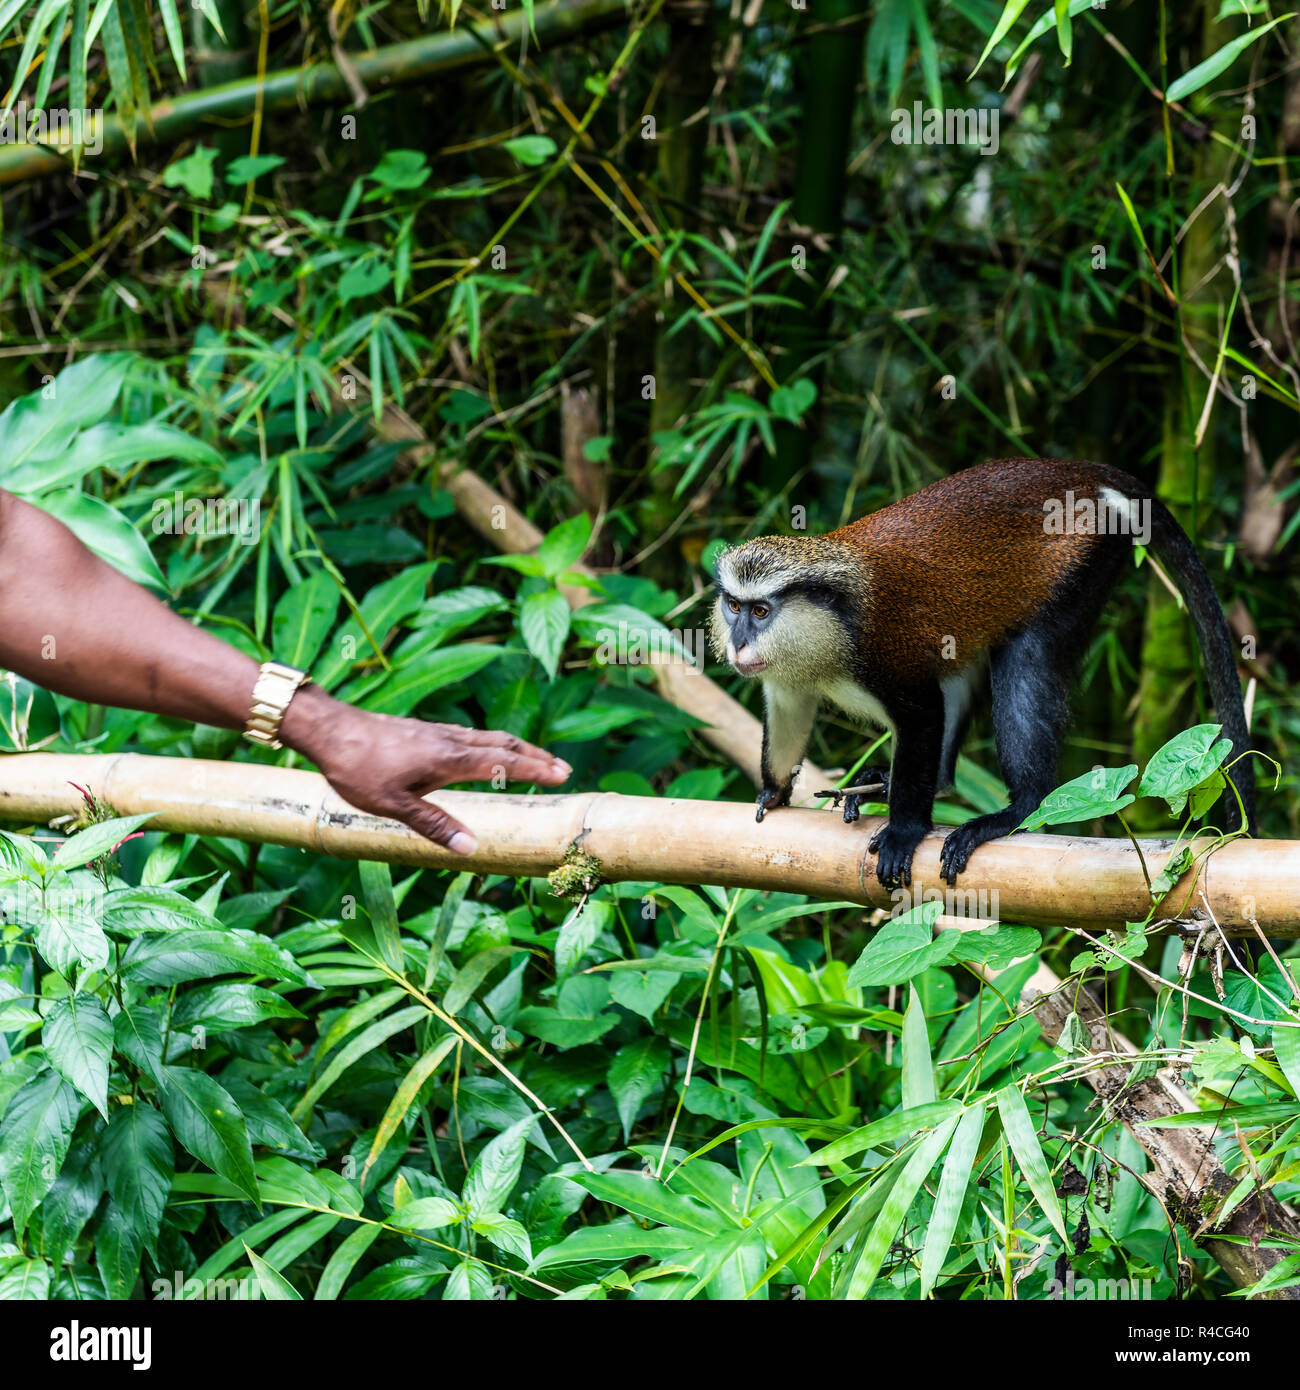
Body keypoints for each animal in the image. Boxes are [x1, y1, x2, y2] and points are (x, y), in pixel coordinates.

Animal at [711, 455, 1262, 889]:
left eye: (761, 612)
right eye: (734, 607)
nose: (738, 643)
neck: (829, 628)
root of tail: (1081, 471)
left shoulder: (884, 657)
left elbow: (923, 714)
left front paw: (904, 831)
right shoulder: (787, 678)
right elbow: (789, 712)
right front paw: (773, 792)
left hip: (1079, 565)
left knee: (1025, 660)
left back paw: (1017, 809)